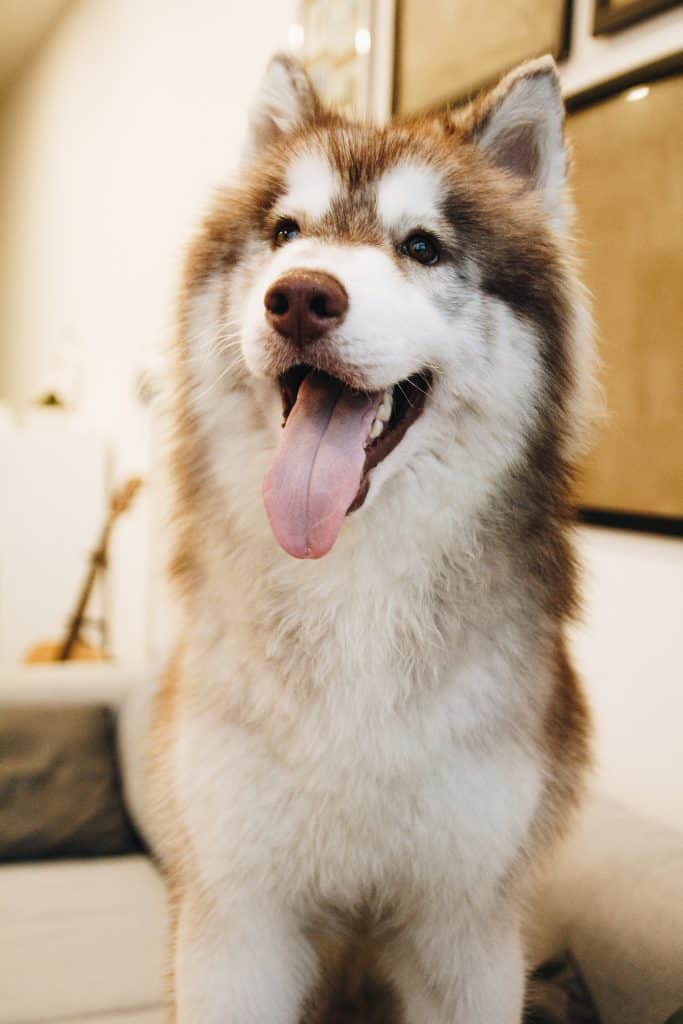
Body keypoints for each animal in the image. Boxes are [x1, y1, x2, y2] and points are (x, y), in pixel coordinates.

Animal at [148, 51, 593, 1019]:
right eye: (285, 232)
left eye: (421, 246)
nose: (299, 297)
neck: (352, 588)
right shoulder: (238, 918)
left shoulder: (463, 929)